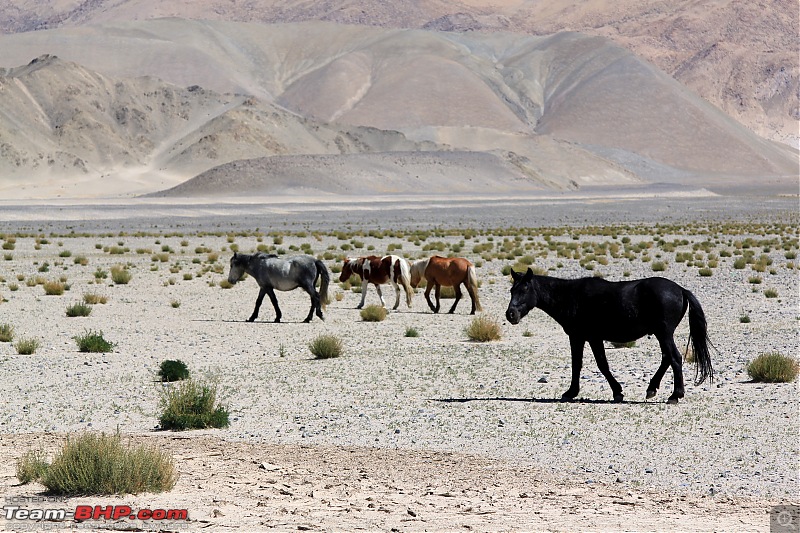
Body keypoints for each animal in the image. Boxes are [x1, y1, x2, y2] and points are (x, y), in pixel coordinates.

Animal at [506, 270, 712, 404]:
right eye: (511, 290)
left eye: (525, 289)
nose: (511, 315)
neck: (571, 297)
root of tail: (680, 289)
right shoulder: (585, 338)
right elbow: (585, 364)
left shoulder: (585, 337)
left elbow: (595, 365)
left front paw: (575, 392)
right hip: (662, 334)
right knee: (666, 358)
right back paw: (652, 388)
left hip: (664, 333)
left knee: (674, 358)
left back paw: (675, 395)